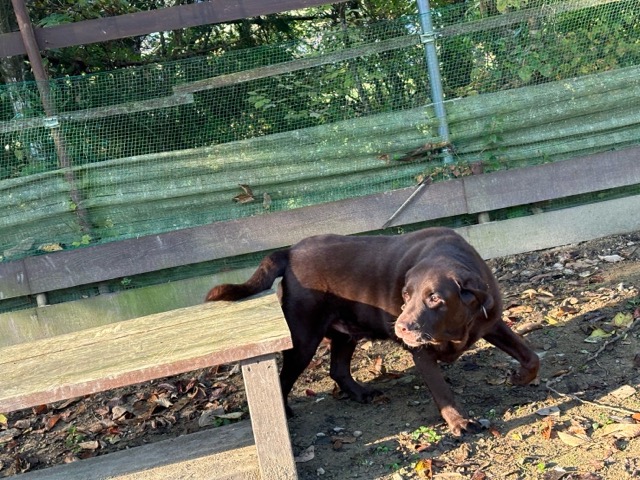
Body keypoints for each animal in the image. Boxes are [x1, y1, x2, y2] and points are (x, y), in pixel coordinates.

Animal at [206, 227, 539, 436]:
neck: (454, 325)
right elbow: (443, 391)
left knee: (338, 370)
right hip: (303, 337)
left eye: (434, 298)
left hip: (344, 333)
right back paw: (286, 413)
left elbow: (530, 356)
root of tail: (290, 251)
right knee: (285, 377)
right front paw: (459, 422)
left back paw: (361, 393)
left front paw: (520, 377)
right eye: (405, 295)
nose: (401, 326)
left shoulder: (490, 322)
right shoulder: (422, 352)